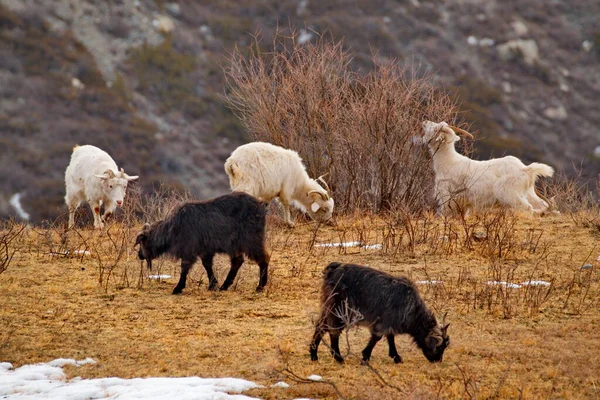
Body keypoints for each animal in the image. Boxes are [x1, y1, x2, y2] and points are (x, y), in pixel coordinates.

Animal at [136, 191, 270, 294]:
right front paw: (213, 284)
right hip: (235, 245)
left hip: (251, 241)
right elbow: (207, 266)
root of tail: (261, 206)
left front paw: (178, 288)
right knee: (237, 261)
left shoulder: (188, 250)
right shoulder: (205, 251)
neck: (173, 227)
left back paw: (260, 286)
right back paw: (224, 286)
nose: (139, 255)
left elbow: (184, 268)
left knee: (263, 259)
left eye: (142, 243)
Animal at [312, 264, 448, 364]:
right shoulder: (383, 323)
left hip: (329, 309)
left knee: (321, 327)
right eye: (440, 347)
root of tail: (332, 271)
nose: (437, 361)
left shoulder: (389, 324)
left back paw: (314, 355)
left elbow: (390, 338)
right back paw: (338, 358)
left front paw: (395, 357)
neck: (412, 310)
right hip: (340, 311)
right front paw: (365, 357)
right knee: (333, 331)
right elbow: (377, 338)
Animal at [422, 120, 552, 216]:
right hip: (528, 193)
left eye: (436, 128)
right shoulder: (464, 204)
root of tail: (525, 169)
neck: (448, 161)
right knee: (542, 205)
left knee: (527, 208)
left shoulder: (447, 197)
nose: (425, 121)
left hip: (509, 194)